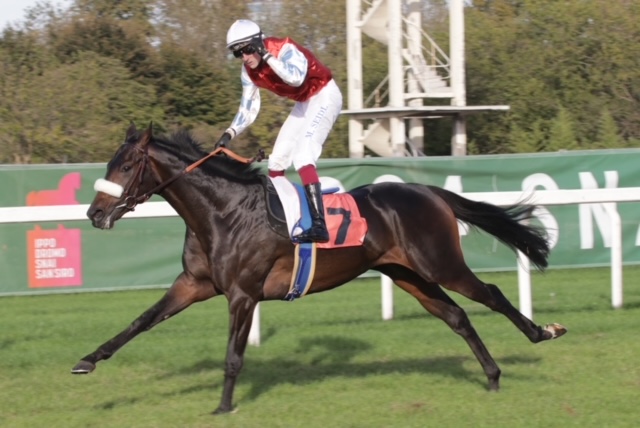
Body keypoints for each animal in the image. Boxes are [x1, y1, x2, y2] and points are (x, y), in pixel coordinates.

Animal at [72, 123, 568, 414]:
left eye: (128, 165)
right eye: (111, 163)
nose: (95, 214)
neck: (222, 211)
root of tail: (427, 191)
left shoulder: (243, 293)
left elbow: (233, 356)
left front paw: (223, 408)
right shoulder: (194, 283)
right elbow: (140, 321)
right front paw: (87, 360)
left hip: (439, 263)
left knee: (491, 296)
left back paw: (543, 332)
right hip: (408, 274)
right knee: (458, 316)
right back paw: (493, 376)